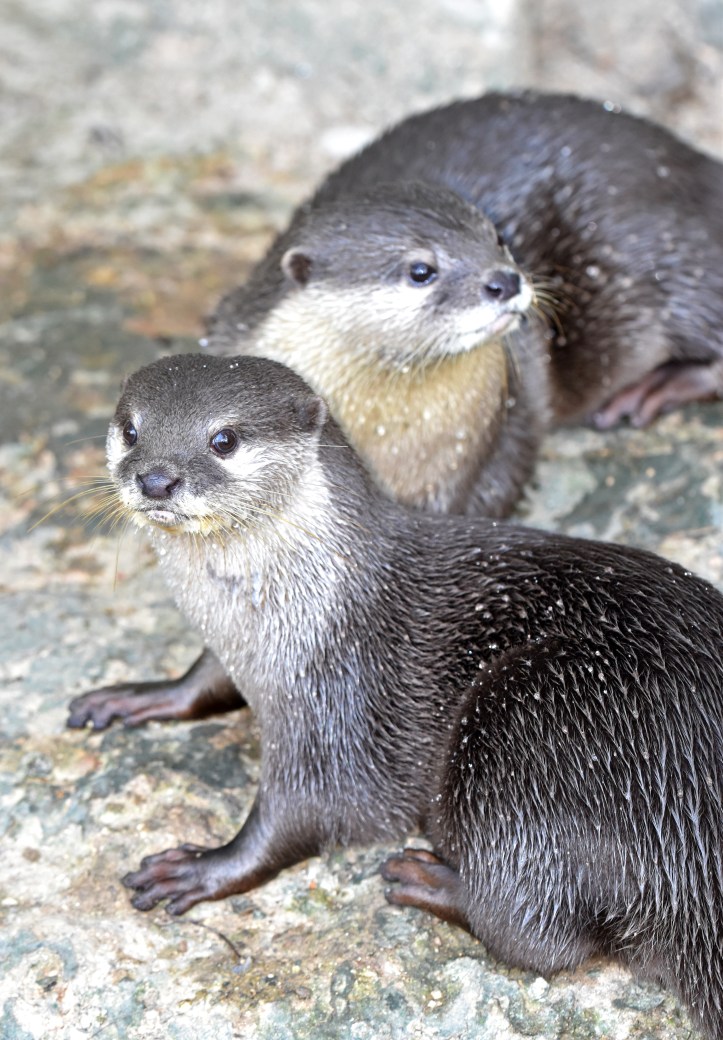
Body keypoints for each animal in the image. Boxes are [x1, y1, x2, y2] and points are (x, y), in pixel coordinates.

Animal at [68, 353, 723, 1038]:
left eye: (223, 439)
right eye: (132, 429)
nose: (156, 478)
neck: (299, 608)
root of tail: (693, 839)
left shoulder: (337, 699)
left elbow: (298, 815)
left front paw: (204, 865)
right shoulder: (234, 654)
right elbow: (203, 681)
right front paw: (134, 697)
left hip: (530, 721)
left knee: (539, 937)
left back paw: (427, 881)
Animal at [207, 90, 723, 517]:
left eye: (497, 238)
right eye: (421, 271)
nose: (505, 281)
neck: (387, 441)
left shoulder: (509, 426)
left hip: (660, 247)